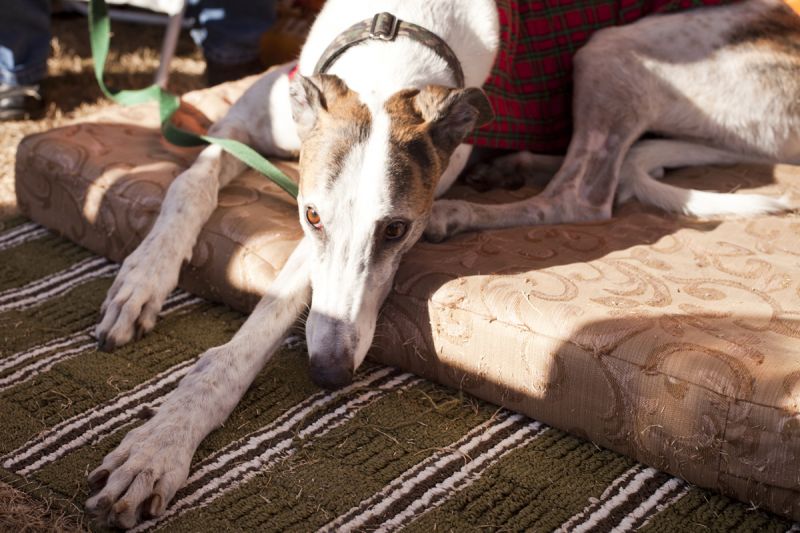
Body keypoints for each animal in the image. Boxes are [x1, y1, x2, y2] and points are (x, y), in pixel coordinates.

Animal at [87, 0, 800, 524]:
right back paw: (512, 163)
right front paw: (141, 282)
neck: (393, 43)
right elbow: (189, 182)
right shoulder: (253, 124)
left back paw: (471, 207)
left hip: (618, 50)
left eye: (397, 228)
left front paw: (161, 444)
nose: (328, 372)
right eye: (310, 216)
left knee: (588, 193)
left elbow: (264, 322)